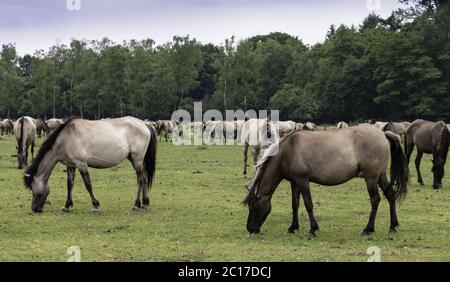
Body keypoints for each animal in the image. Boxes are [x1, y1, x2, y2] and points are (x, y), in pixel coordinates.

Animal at [25, 117, 158, 214]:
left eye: (33, 189)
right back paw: (145, 203)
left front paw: (96, 206)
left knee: (140, 179)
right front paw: (67, 206)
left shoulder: (81, 164)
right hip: (133, 159)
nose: (35, 209)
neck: (66, 138)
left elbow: (88, 184)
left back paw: (136, 205)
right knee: (145, 177)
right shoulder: (71, 165)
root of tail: (145, 124)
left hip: (137, 159)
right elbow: (69, 185)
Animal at [244, 126, 410, 236]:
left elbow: (308, 204)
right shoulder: (294, 182)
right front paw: (293, 227)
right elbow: (295, 204)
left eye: (254, 207)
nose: (250, 229)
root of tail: (382, 133)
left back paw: (368, 229)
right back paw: (393, 226)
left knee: (375, 200)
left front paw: (313, 229)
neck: (288, 151)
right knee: (390, 195)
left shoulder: (303, 181)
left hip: (371, 178)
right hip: (380, 176)